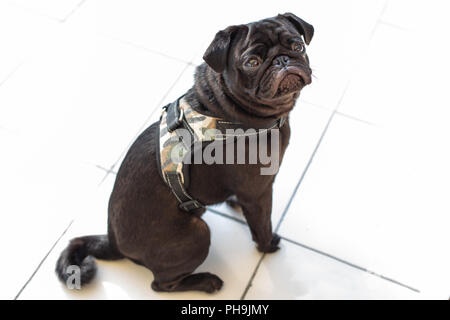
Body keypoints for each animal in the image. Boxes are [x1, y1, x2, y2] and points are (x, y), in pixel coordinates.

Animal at [56, 11, 312, 292]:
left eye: (298, 46)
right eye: (252, 63)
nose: (283, 60)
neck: (228, 111)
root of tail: (112, 243)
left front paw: (234, 204)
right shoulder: (259, 193)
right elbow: (262, 225)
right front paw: (268, 245)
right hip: (196, 234)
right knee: (161, 284)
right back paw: (205, 282)